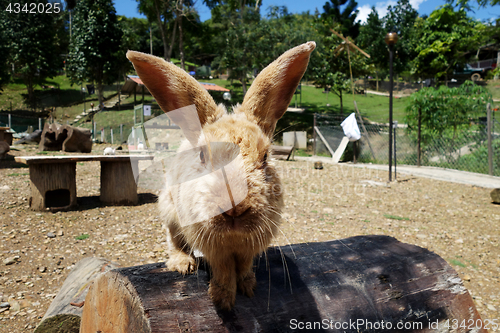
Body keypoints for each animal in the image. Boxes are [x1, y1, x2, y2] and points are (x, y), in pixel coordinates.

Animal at [128, 41, 316, 308]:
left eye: (265, 157)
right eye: (202, 156)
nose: (235, 207)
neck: (233, 237)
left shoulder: (249, 247)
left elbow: (244, 266)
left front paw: (248, 287)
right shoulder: (213, 247)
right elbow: (223, 269)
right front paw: (223, 298)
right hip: (168, 208)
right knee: (173, 239)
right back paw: (182, 264)